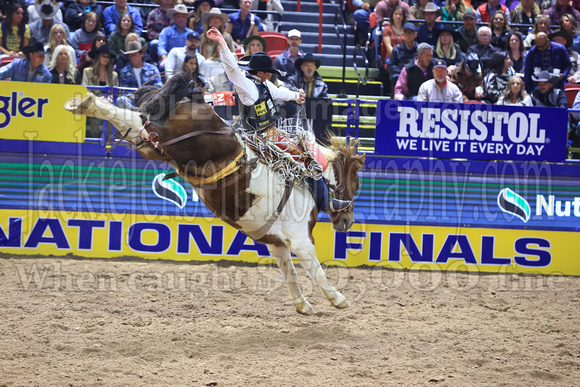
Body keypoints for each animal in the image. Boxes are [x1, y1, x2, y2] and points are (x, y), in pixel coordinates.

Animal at [63, 74, 362, 316]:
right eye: (356, 184)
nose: (347, 221)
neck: (307, 178)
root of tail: (196, 100)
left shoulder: (276, 242)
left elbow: (289, 273)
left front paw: (303, 305)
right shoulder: (300, 240)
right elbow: (316, 271)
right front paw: (338, 299)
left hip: (154, 146)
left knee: (135, 123)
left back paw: (84, 104)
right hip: (178, 140)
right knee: (139, 121)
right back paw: (84, 103)